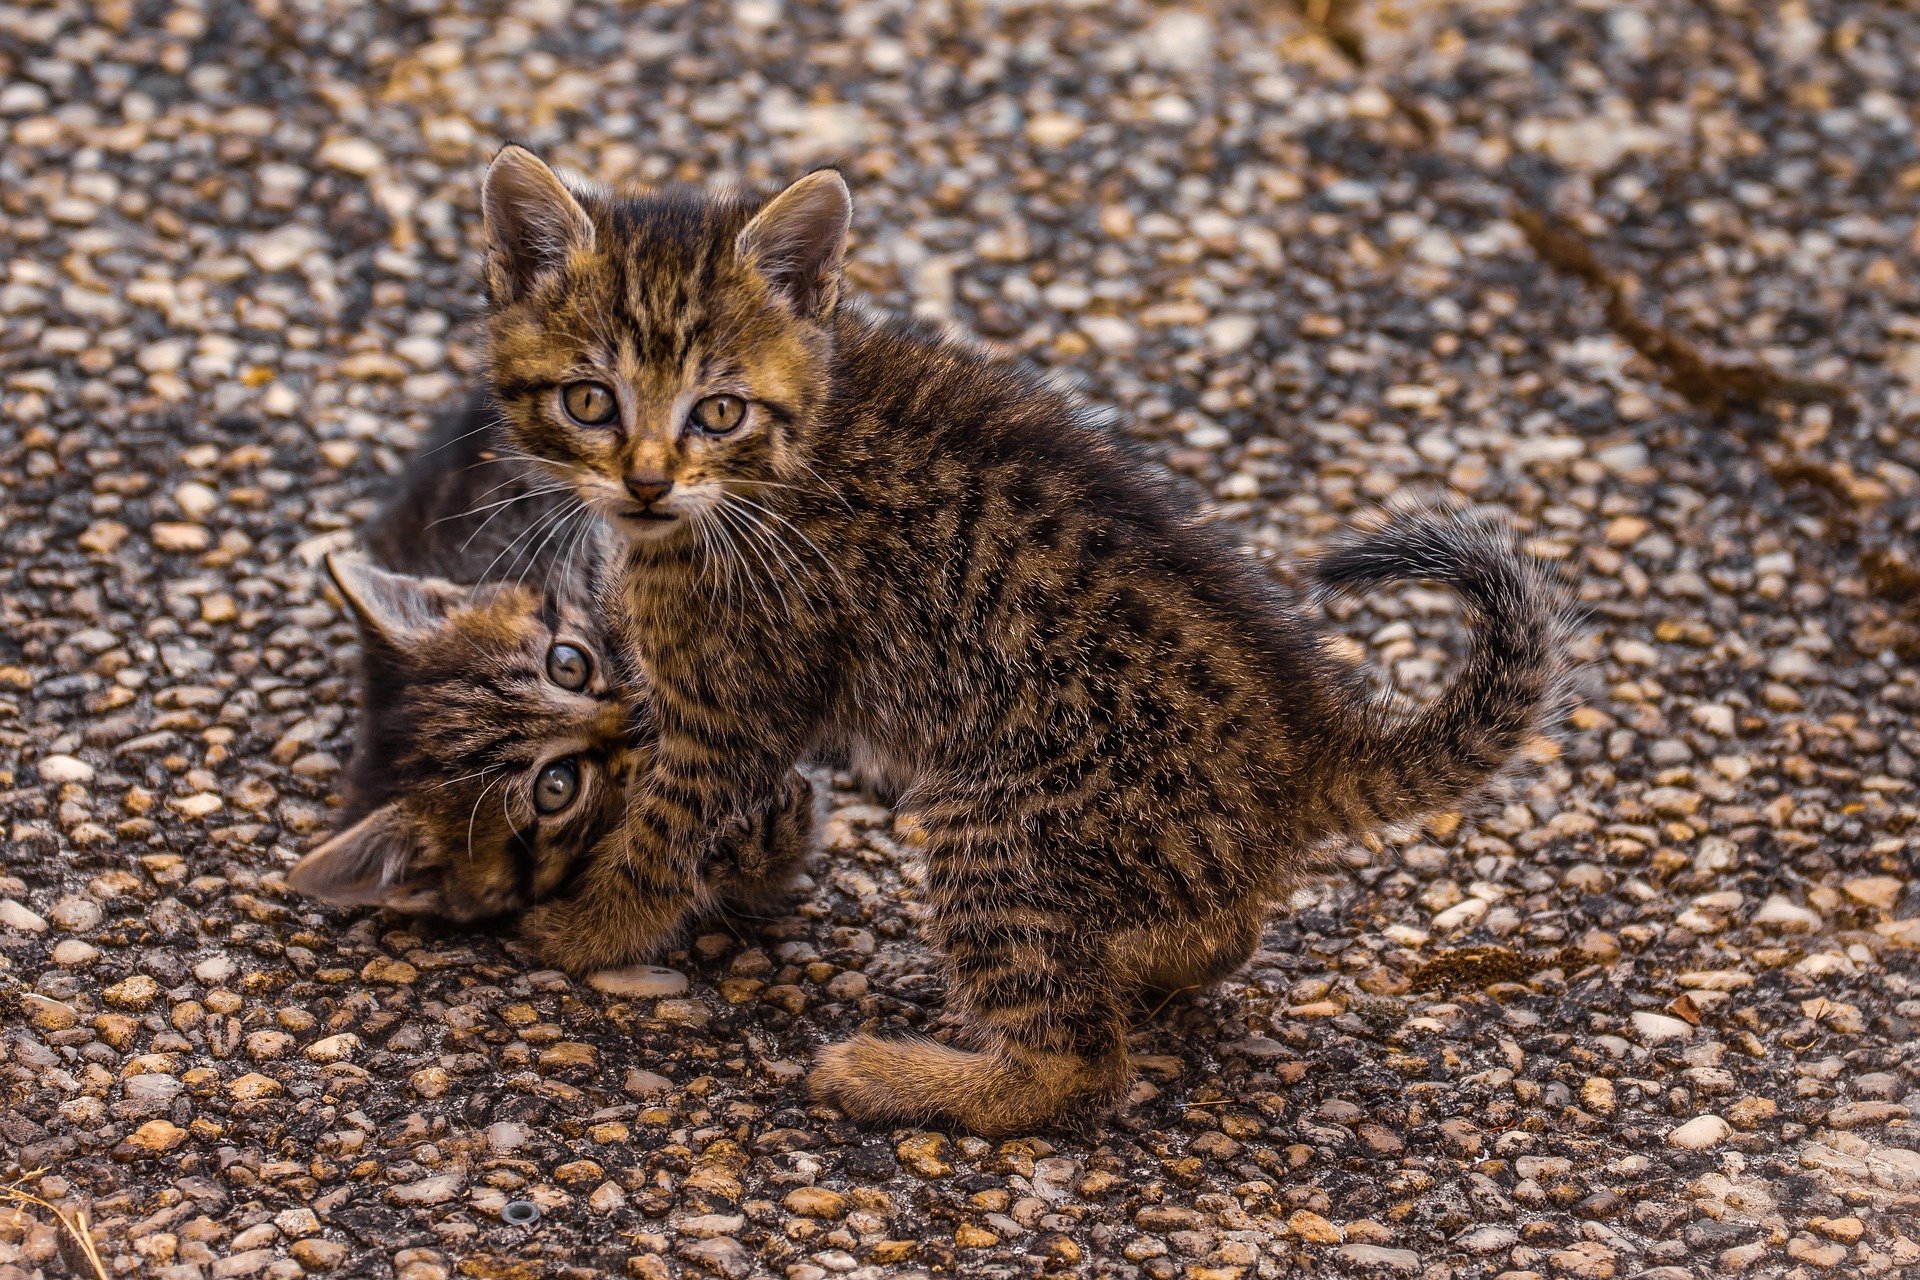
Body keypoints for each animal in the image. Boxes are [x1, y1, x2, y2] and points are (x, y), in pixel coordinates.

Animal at [472, 147, 1566, 1128]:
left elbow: (663, 835)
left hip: (1005, 826)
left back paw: (903, 1077)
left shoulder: (737, 702)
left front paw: (591, 928)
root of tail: (1300, 743)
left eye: (720, 409)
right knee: (1216, 937)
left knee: (1078, 1069)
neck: (781, 458)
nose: (647, 481)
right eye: (589, 400)